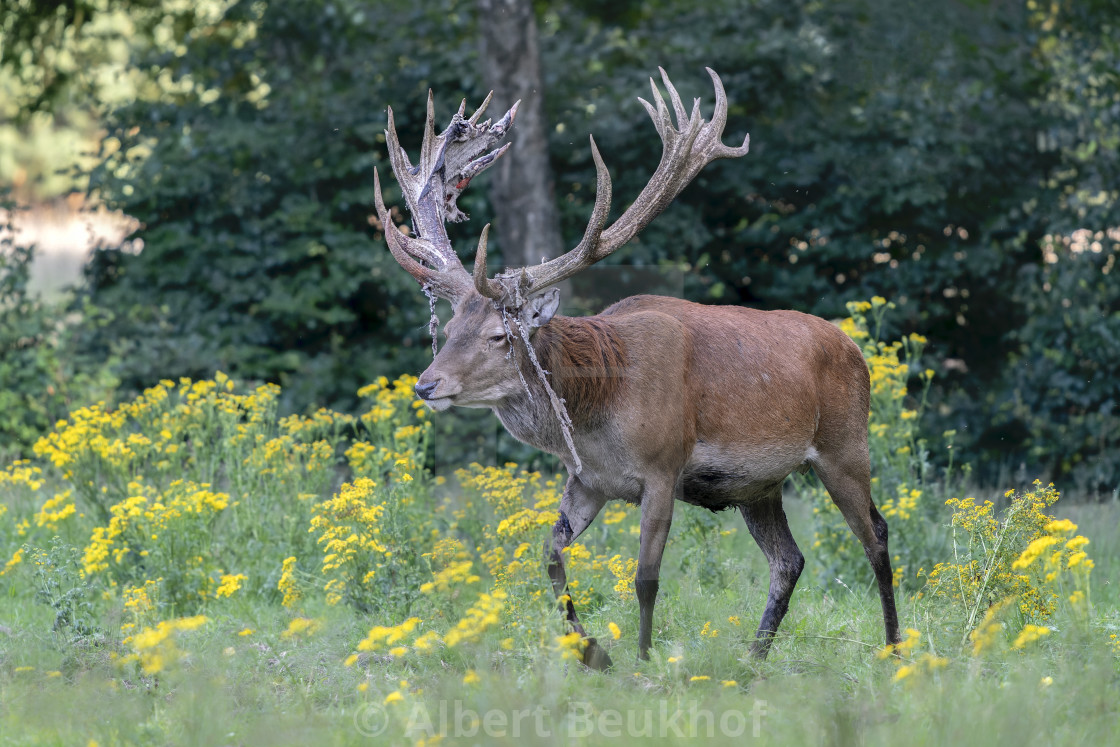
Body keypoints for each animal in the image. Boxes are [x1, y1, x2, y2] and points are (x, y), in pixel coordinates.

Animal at [371, 67, 904, 667]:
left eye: (499, 336)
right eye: (448, 329)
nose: (426, 385)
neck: (598, 412)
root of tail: (855, 348)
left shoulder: (662, 467)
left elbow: (645, 578)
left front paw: (645, 663)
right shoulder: (588, 479)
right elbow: (549, 556)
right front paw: (593, 653)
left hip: (844, 443)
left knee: (876, 533)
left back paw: (893, 649)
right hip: (760, 485)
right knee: (788, 560)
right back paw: (752, 661)